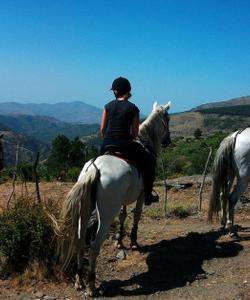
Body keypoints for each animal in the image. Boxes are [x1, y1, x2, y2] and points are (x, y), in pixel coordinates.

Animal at [55, 102, 171, 296]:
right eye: (167, 119)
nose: (168, 141)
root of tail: (95, 168)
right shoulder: (141, 195)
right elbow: (136, 215)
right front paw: (133, 242)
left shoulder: (122, 201)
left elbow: (123, 216)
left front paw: (119, 241)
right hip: (106, 215)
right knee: (94, 245)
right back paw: (91, 286)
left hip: (85, 211)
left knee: (80, 240)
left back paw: (79, 281)